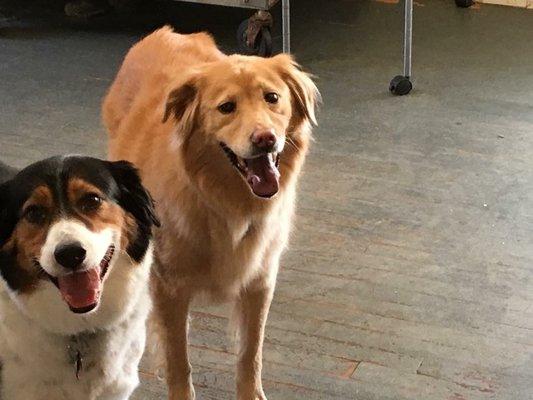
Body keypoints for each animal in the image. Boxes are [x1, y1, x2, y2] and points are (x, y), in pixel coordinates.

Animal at [102, 27, 318, 400]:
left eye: (272, 98)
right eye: (226, 108)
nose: (265, 139)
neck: (227, 204)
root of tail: (165, 32)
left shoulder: (260, 281)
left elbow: (250, 353)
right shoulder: (170, 289)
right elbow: (179, 361)